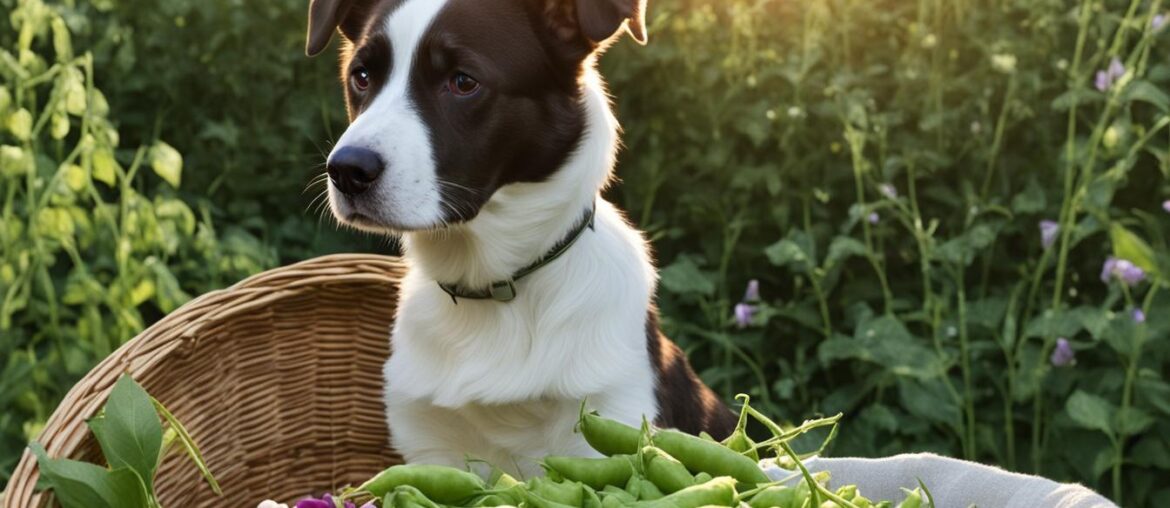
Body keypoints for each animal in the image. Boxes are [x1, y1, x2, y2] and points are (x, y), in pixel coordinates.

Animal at [306, 0, 734, 477]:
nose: (346, 171)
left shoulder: (609, 417)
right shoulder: (432, 449)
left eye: (463, 82)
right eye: (361, 76)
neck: (491, 287)